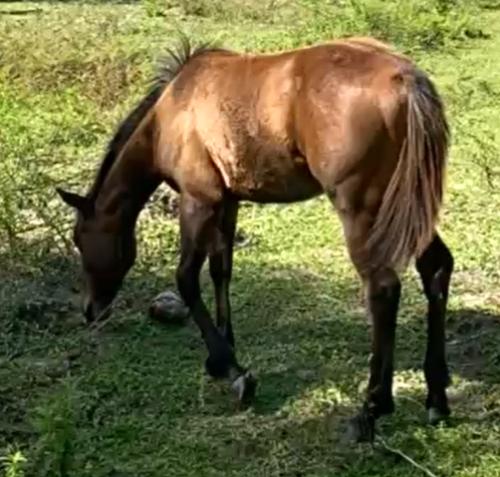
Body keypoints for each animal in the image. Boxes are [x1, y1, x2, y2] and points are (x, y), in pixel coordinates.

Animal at [56, 35, 456, 440]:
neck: (171, 113)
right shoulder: (226, 202)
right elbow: (221, 270)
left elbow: (186, 278)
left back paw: (371, 409)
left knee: (383, 289)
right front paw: (221, 354)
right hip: (409, 205)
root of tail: (404, 79)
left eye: (79, 239)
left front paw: (231, 367)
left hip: (363, 211)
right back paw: (436, 398)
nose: (90, 311)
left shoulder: (198, 201)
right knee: (436, 268)